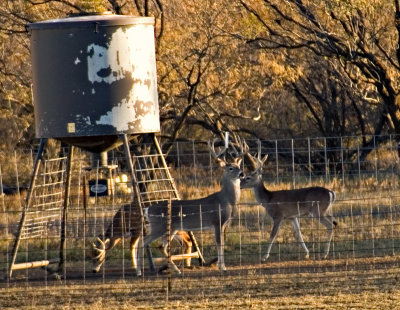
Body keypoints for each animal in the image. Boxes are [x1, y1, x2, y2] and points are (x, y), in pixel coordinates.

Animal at [131, 139, 245, 274]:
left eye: (239, 166)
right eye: (231, 168)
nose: (242, 173)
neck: (226, 200)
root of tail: (147, 209)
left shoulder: (224, 224)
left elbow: (222, 243)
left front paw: (222, 266)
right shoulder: (217, 221)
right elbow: (219, 243)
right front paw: (222, 267)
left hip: (171, 228)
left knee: (160, 246)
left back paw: (175, 270)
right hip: (159, 226)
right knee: (143, 242)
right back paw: (139, 271)